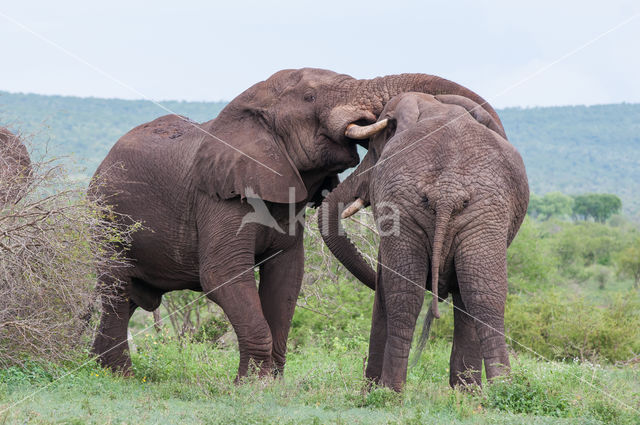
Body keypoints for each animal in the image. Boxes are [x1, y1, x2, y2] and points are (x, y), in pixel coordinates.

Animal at [91, 68, 504, 380]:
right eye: (309, 97)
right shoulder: (218, 199)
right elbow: (222, 275)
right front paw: (253, 387)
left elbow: (287, 276)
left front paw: (269, 384)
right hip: (106, 218)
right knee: (115, 289)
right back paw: (119, 377)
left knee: (129, 298)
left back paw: (102, 369)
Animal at [318, 91, 528, 390]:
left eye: (373, 152)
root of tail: (447, 190)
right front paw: (466, 394)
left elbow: (385, 283)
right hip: (483, 216)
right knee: (482, 297)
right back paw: (500, 391)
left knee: (409, 295)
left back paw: (389, 393)